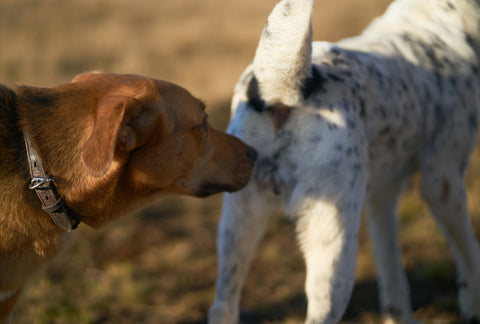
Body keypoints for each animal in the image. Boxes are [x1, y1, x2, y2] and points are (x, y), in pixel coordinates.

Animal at [208, 0, 480, 324]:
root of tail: (283, 90)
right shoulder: (443, 184)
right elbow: (469, 256)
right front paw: (473, 306)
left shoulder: (382, 196)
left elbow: (393, 276)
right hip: (333, 241)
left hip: (238, 227)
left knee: (222, 305)